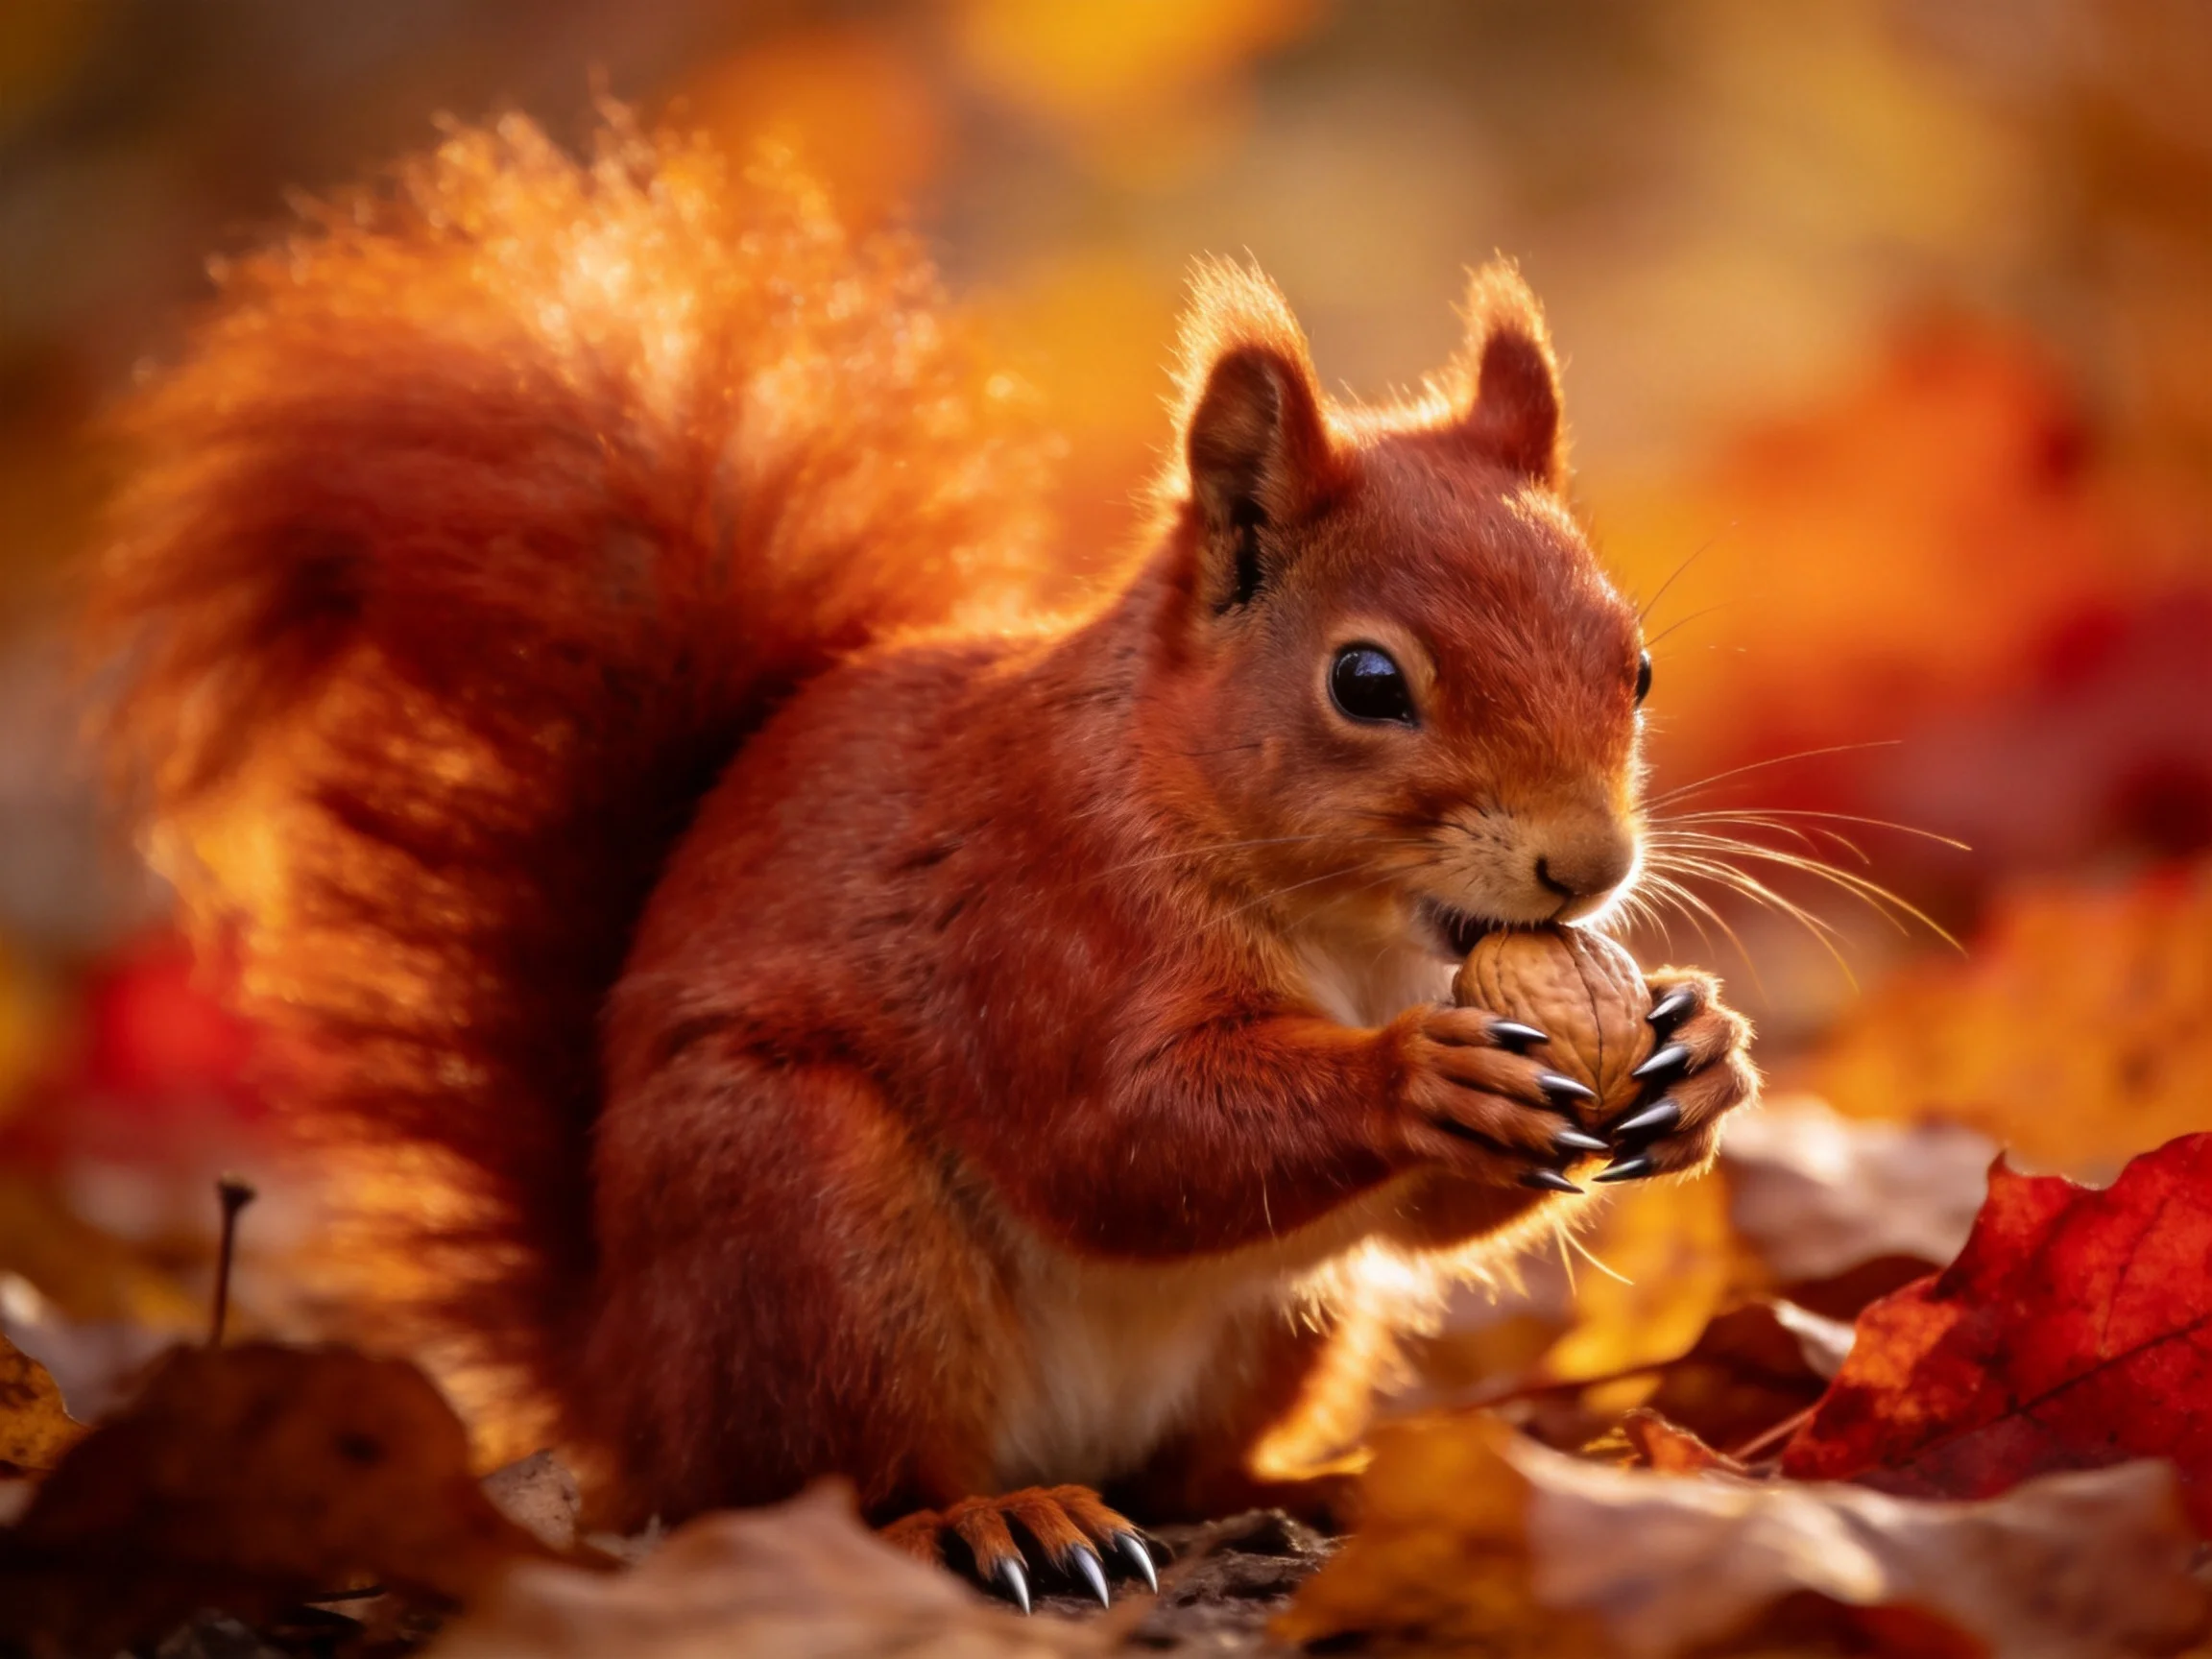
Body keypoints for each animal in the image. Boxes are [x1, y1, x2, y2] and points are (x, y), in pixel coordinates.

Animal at [89, 112, 1757, 1602]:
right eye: (1365, 682)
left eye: (1638, 664)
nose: (1588, 865)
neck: (1350, 928)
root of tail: (620, 1383)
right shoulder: (1038, 908)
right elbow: (1125, 1138)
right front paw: (1420, 1077)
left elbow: (1422, 1217)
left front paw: (1700, 1055)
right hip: (810, 1222)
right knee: (839, 1479)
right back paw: (994, 1522)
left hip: (1286, 1327)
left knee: (1192, 1466)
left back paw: (1315, 1484)